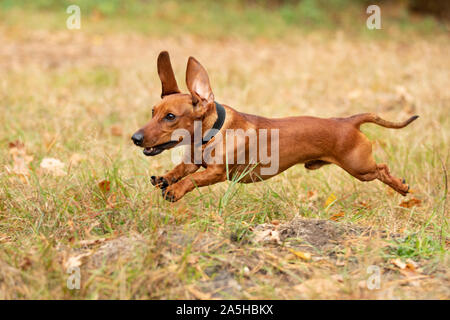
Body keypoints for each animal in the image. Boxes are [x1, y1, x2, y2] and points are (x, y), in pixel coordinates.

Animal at [131, 52, 418, 202]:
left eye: (170, 116)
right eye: (153, 112)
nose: (135, 138)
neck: (214, 133)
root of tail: (347, 121)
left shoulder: (217, 173)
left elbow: (192, 180)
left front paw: (176, 189)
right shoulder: (193, 161)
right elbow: (181, 169)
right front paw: (166, 178)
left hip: (360, 167)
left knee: (382, 168)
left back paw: (401, 186)